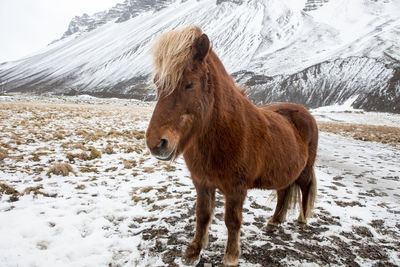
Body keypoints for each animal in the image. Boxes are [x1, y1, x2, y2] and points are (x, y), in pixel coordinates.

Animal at [145, 26, 318, 266]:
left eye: (189, 84)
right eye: (157, 84)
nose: (156, 143)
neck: (224, 132)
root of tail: (304, 113)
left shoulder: (236, 189)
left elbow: (232, 221)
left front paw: (230, 256)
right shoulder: (202, 182)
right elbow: (202, 214)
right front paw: (194, 250)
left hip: (305, 170)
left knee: (304, 188)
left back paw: (301, 221)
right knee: (284, 192)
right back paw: (274, 222)